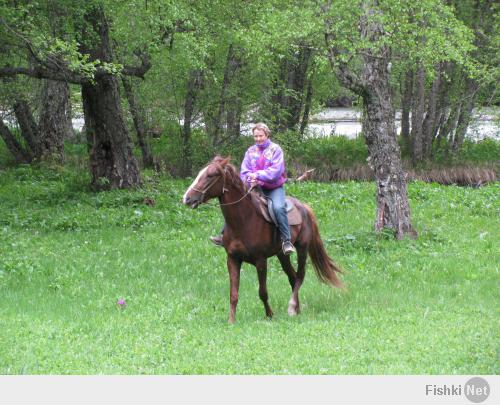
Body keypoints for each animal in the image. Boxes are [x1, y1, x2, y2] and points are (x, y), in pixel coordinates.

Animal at [183, 155, 344, 322]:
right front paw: (231, 320)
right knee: (292, 277)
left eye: (211, 175)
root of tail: (304, 207)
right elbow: (233, 294)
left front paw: (269, 315)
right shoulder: (232, 259)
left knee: (300, 276)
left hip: (302, 249)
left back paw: (292, 306)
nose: (187, 198)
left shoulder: (261, 260)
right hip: (282, 255)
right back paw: (297, 310)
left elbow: (263, 292)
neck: (244, 220)